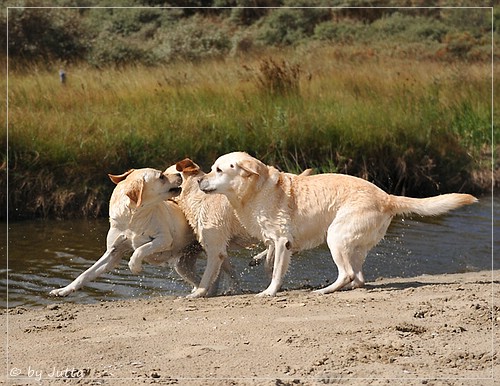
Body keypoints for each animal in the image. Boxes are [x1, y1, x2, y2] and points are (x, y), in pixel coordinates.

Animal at [50, 167, 203, 298]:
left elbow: (140, 249)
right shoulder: (113, 252)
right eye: (161, 176)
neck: (133, 218)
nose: (179, 174)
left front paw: (134, 267)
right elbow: (86, 274)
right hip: (182, 266)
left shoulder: (164, 239)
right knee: (199, 280)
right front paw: (63, 290)